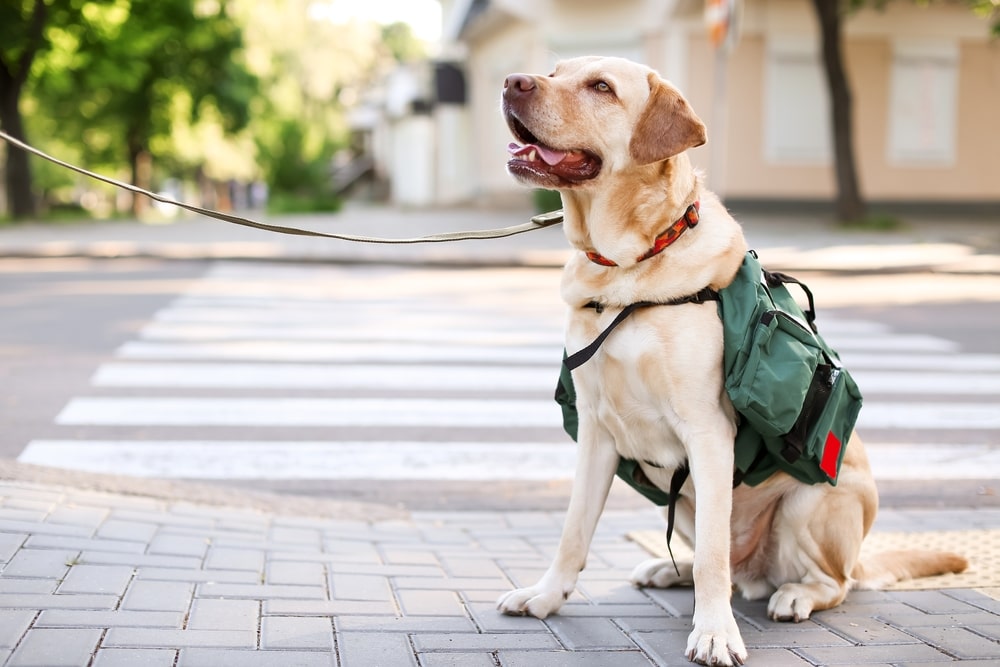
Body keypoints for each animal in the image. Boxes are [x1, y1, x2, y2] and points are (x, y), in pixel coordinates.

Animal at [496, 57, 964, 667]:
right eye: (555, 71)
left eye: (601, 87)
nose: (512, 82)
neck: (626, 273)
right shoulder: (597, 431)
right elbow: (574, 531)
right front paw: (546, 595)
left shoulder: (708, 433)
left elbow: (712, 561)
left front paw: (715, 633)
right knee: (716, 564)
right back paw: (666, 569)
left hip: (810, 505)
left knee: (825, 582)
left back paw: (795, 594)